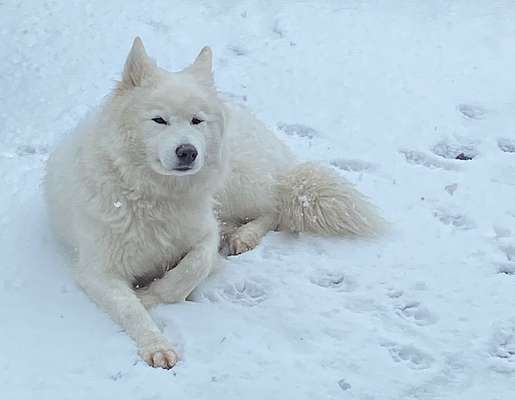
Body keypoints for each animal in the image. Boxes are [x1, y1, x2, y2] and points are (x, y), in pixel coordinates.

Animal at [45, 37, 382, 368]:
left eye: (197, 121)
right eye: (159, 120)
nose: (187, 152)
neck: (155, 195)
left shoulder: (205, 233)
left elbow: (193, 267)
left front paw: (151, 295)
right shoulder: (97, 271)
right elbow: (130, 310)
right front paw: (156, 344)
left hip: (237, 183)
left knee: (274, 207)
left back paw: (243, 235)